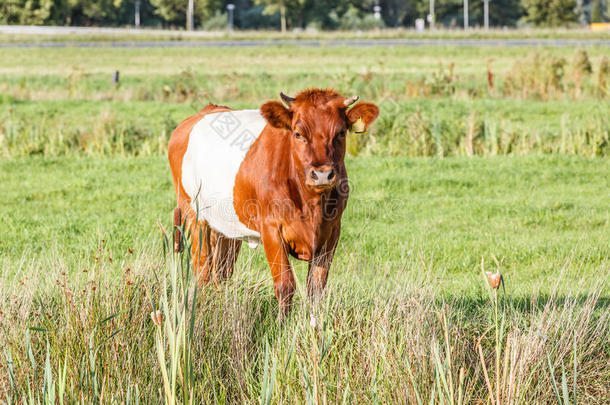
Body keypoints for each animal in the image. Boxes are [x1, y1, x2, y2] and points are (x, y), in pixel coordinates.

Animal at [166, 87, 376, 316]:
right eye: (298, 133)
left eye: (340, 133)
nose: (322, 175)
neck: (311, 205)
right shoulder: (271, 229)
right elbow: (285, 285)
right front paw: (282, 325)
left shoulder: (332, 232)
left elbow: (316, 289)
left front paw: (313, 323)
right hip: (193, 214)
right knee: (202, 270)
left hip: (224, 229)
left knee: (221, 272)